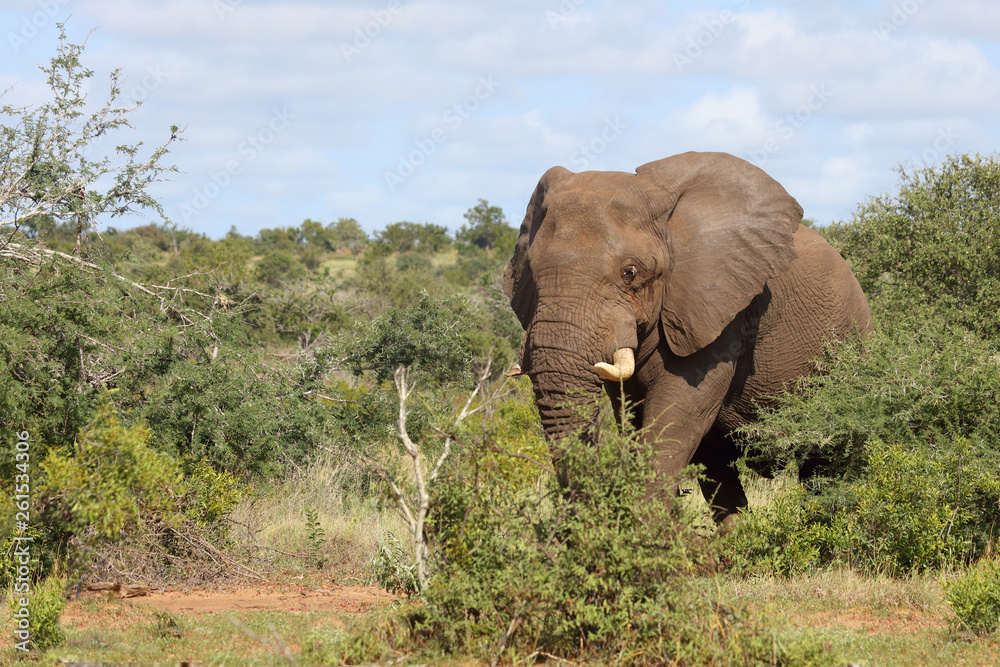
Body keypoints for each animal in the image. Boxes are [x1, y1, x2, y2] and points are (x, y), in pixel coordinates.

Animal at [504, 151, 872, 528]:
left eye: (630, 273)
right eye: (529, 272)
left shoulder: (721, 306)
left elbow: (679, 412)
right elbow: (633, 415)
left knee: (825, 462)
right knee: (718, 464)